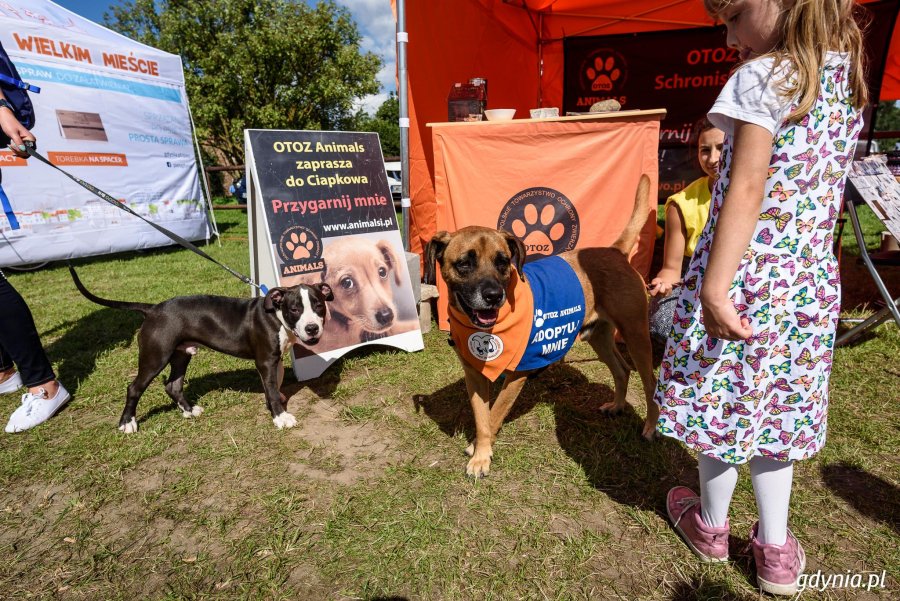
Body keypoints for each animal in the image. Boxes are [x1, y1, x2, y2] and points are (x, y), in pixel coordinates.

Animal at [68, 268, 332, 432]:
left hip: (181, 354)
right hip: (156, 356)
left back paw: (189, 410)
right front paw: (280, 416)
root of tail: (153, 309)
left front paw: (274, 403)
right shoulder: (266, 360)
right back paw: (127, 423)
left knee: (172, 385)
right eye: (295, 309)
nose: (312, 328)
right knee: (134, 388)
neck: (276, 316)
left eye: (319, 305)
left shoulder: (274, 360)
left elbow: (274, 385)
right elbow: (272, 388)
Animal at [426, 176, 656, 476]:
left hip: (636, 335)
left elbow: (495, 413)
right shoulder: (473, 374)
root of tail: (614, 251)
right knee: (622, 370)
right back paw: (617, 406)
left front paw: (481, 453)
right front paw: (480, 447)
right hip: (600, 337)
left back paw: (650, 426)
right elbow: (481, 416)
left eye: (503, 262)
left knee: (651, 383)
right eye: (464, 263)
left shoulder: (518, 374)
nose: (494, 296)